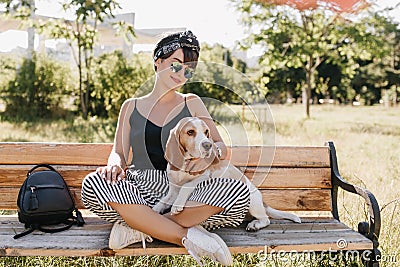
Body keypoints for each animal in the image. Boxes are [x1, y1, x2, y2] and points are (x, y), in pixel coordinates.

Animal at [153, 117, 300, 232]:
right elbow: (163, 201)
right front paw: (154, 211)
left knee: (266, 219)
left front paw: (177, 205)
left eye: (206, 132)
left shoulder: (203, 177)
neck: (186, 163)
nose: (208, 145)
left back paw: (255, 225)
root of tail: (262, 201)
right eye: (190, 132)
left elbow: (186, 186)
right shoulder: (173, 190)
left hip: (252, 202)